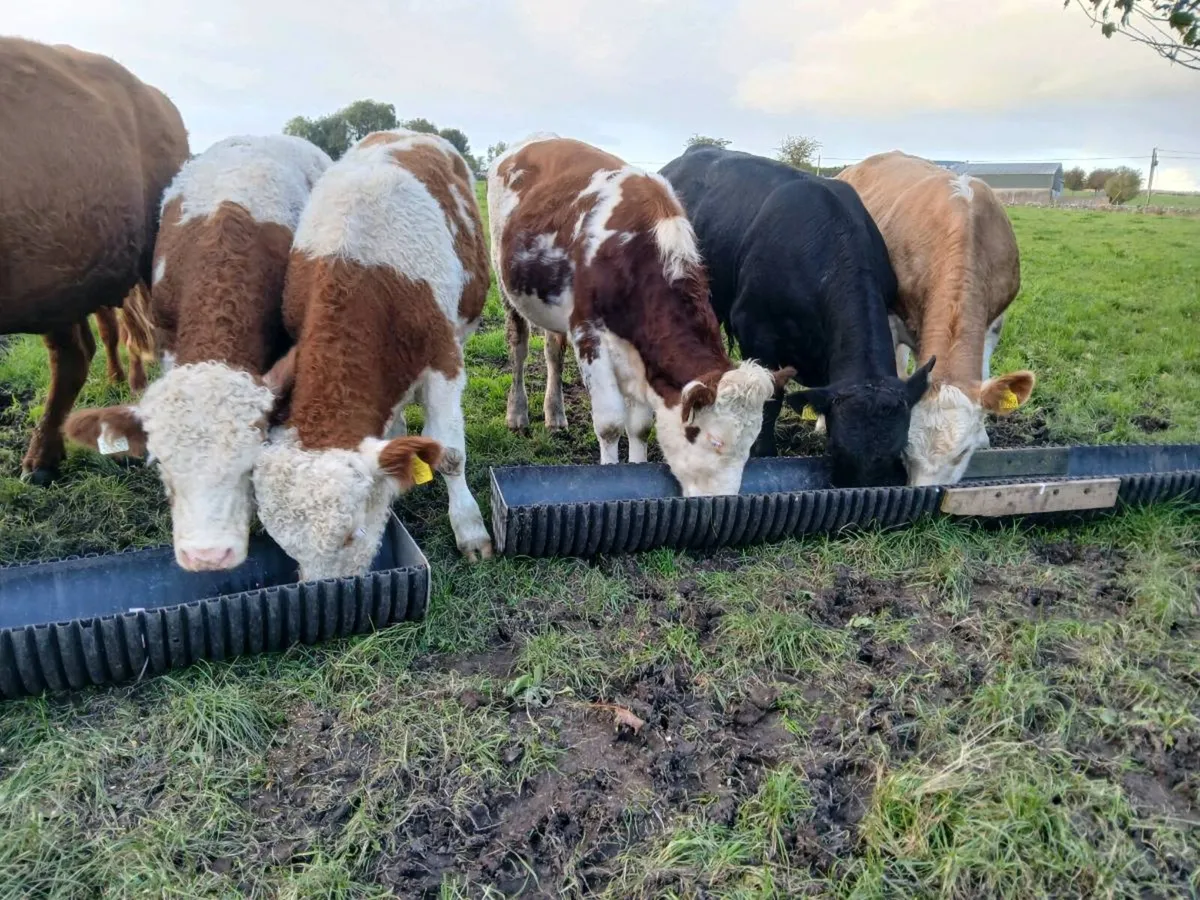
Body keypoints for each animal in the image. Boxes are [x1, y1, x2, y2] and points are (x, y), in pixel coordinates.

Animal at [488, 135, 791, 497]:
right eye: (715, 440)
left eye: (749, 446)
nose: (723, 502)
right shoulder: (587, 333)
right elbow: (609, 424)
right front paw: (611, 476)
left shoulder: (640, 354)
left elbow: (641, 426)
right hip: (504, 281)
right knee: (518, 347)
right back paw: (517, 414)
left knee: (552, 351)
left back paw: (555, 415)